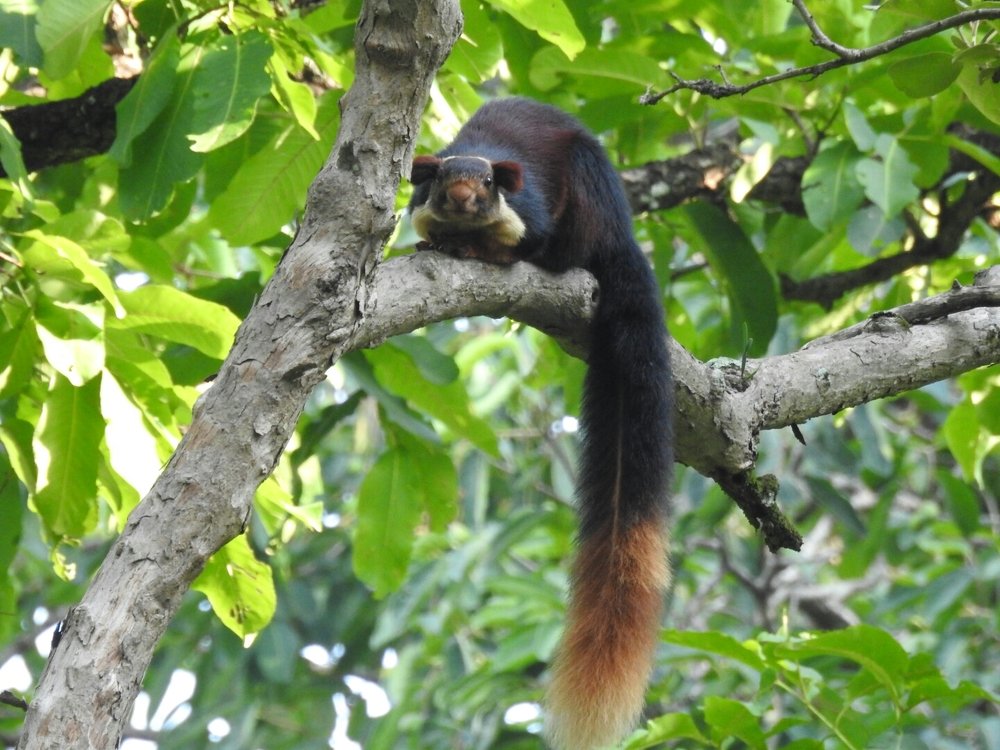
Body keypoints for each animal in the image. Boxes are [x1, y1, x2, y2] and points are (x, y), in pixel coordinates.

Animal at [409, 97, 673, 750]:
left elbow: (527, 243)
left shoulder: (527, 214)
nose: (462, 197)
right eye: (443, 180)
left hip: (587, 196)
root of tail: (623, 233)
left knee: (567, 254)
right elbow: (426, 233)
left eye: (486, 184)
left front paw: (482, 252)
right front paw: (438, 244)